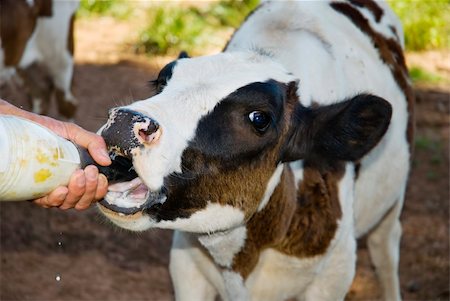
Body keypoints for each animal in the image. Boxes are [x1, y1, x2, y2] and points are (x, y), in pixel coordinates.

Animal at [96, 1, 414, 298]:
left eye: (258, 118)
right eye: (162, 82)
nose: (124, 122)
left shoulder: (334, 274)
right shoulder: (186, 265)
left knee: (386, 248)